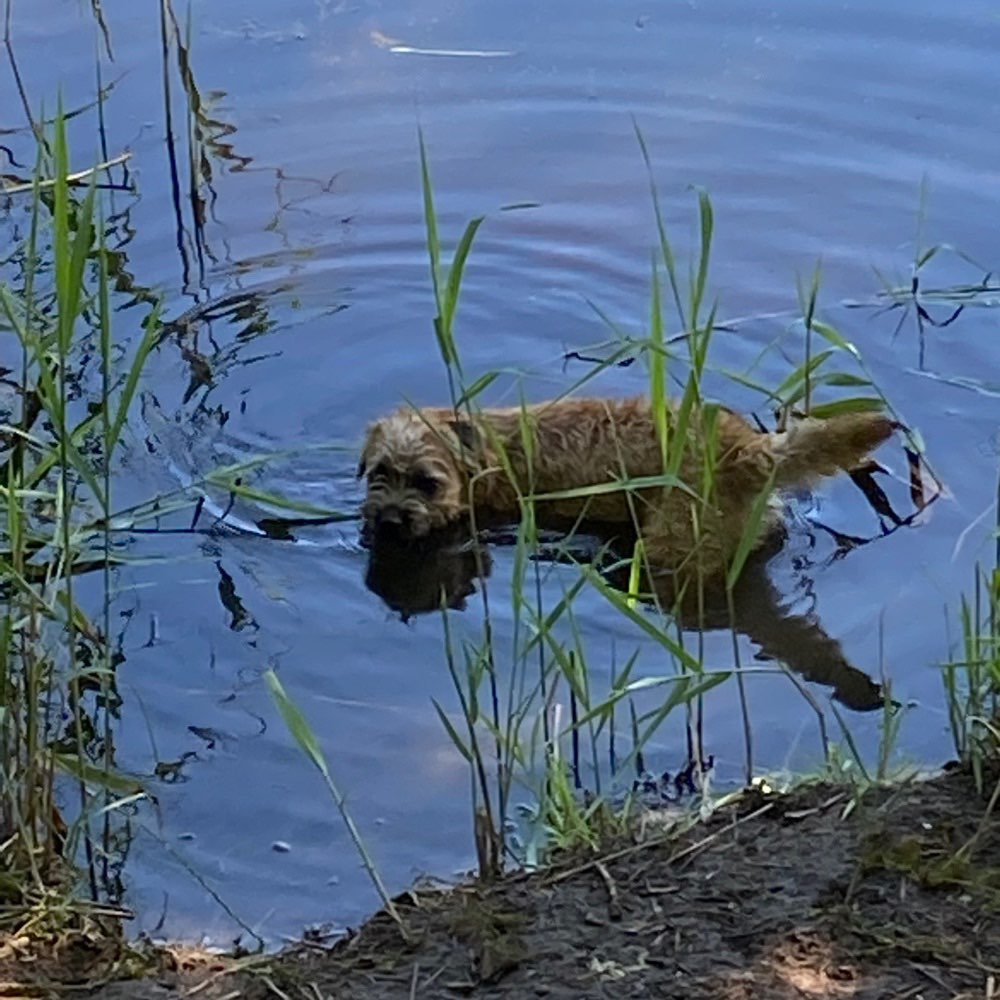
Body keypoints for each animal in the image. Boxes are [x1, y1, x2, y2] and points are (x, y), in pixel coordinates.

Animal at [358, 396, 892, 584]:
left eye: (426, 483)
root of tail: (740, 446)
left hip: (673, 539)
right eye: (378, 472)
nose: (389, 520)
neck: (490, 451)